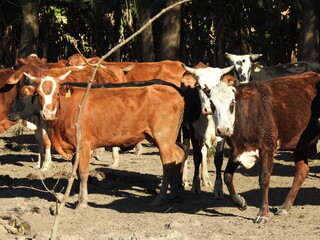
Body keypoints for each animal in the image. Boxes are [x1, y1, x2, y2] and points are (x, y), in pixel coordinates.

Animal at [204, 71, 320, 223]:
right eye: (212, 104)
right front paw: (240, 202)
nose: (223, 130)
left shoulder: (268, 148)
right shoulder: (238, 151)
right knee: (302, 170)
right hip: (300, 144)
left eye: (232, 102)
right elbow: (227, 176)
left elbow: (264, 180)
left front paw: (263, 213)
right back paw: (284, 207)